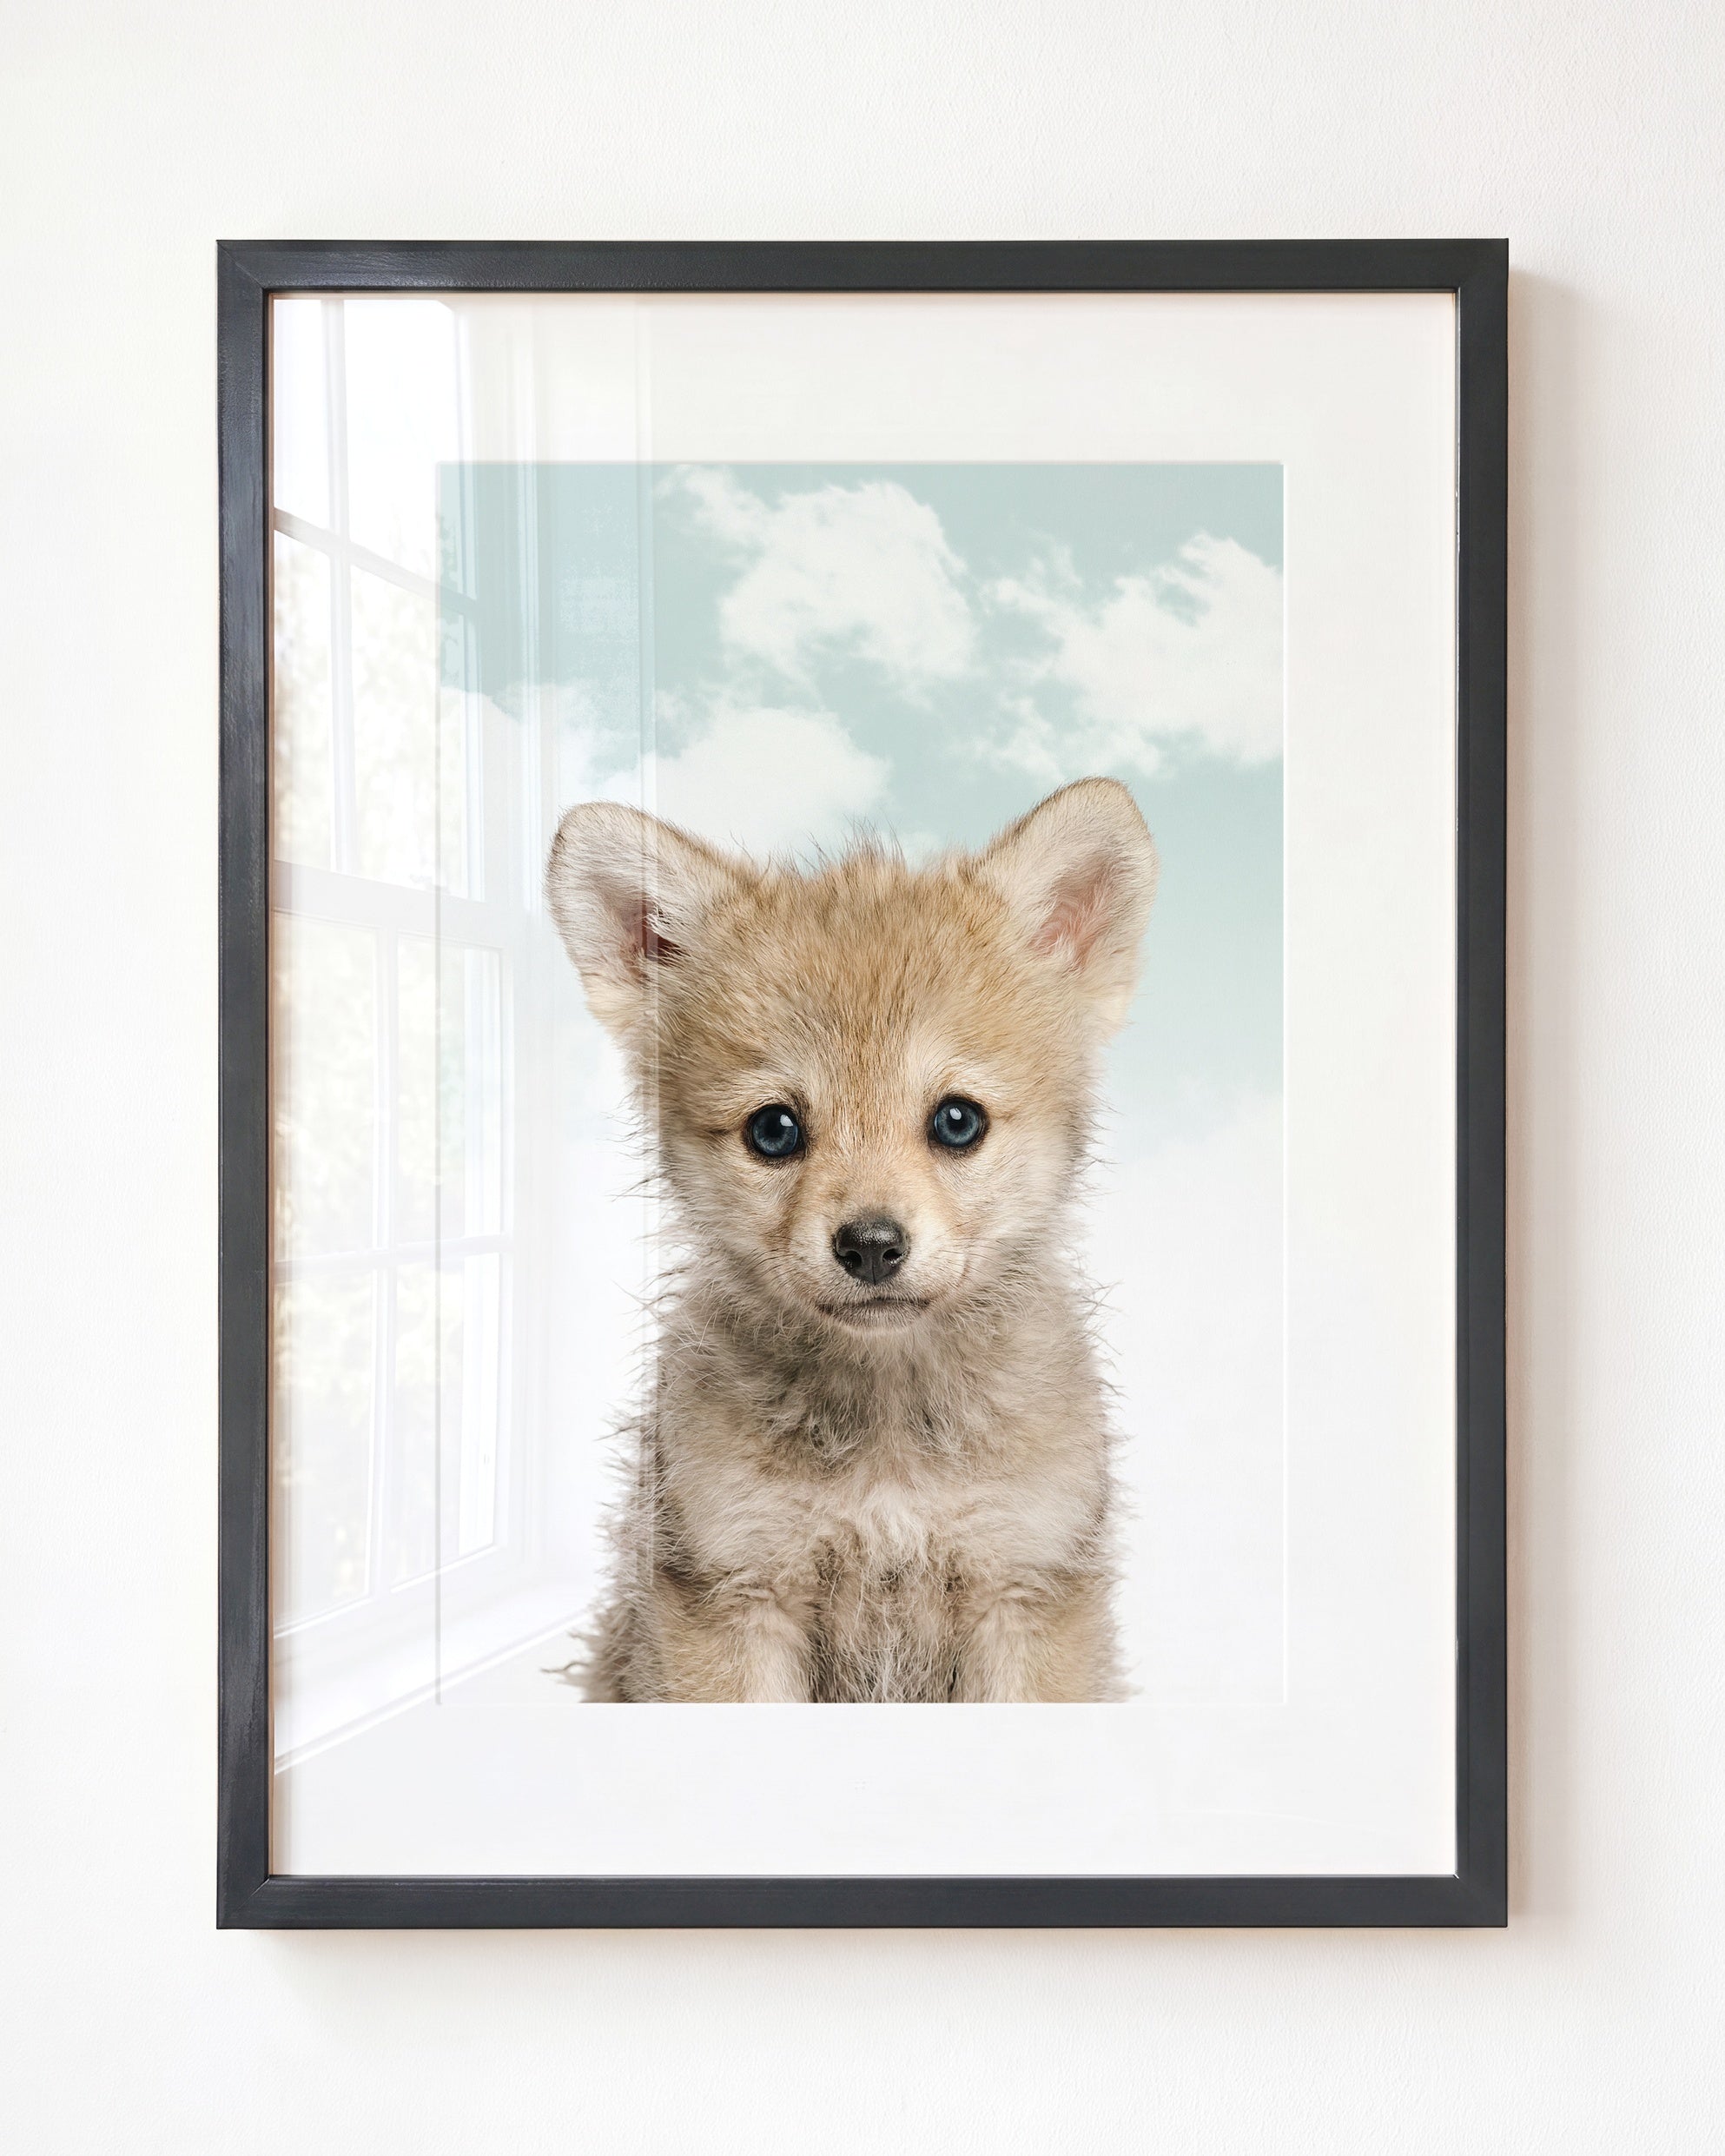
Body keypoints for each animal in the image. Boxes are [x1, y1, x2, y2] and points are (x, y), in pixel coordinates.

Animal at [545, 777, 1158, 1702]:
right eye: (773, 1131)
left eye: (957, 1121)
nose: (871, 1245)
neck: (889, 1442)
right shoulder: (735, 1593)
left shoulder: (1023, 1588)